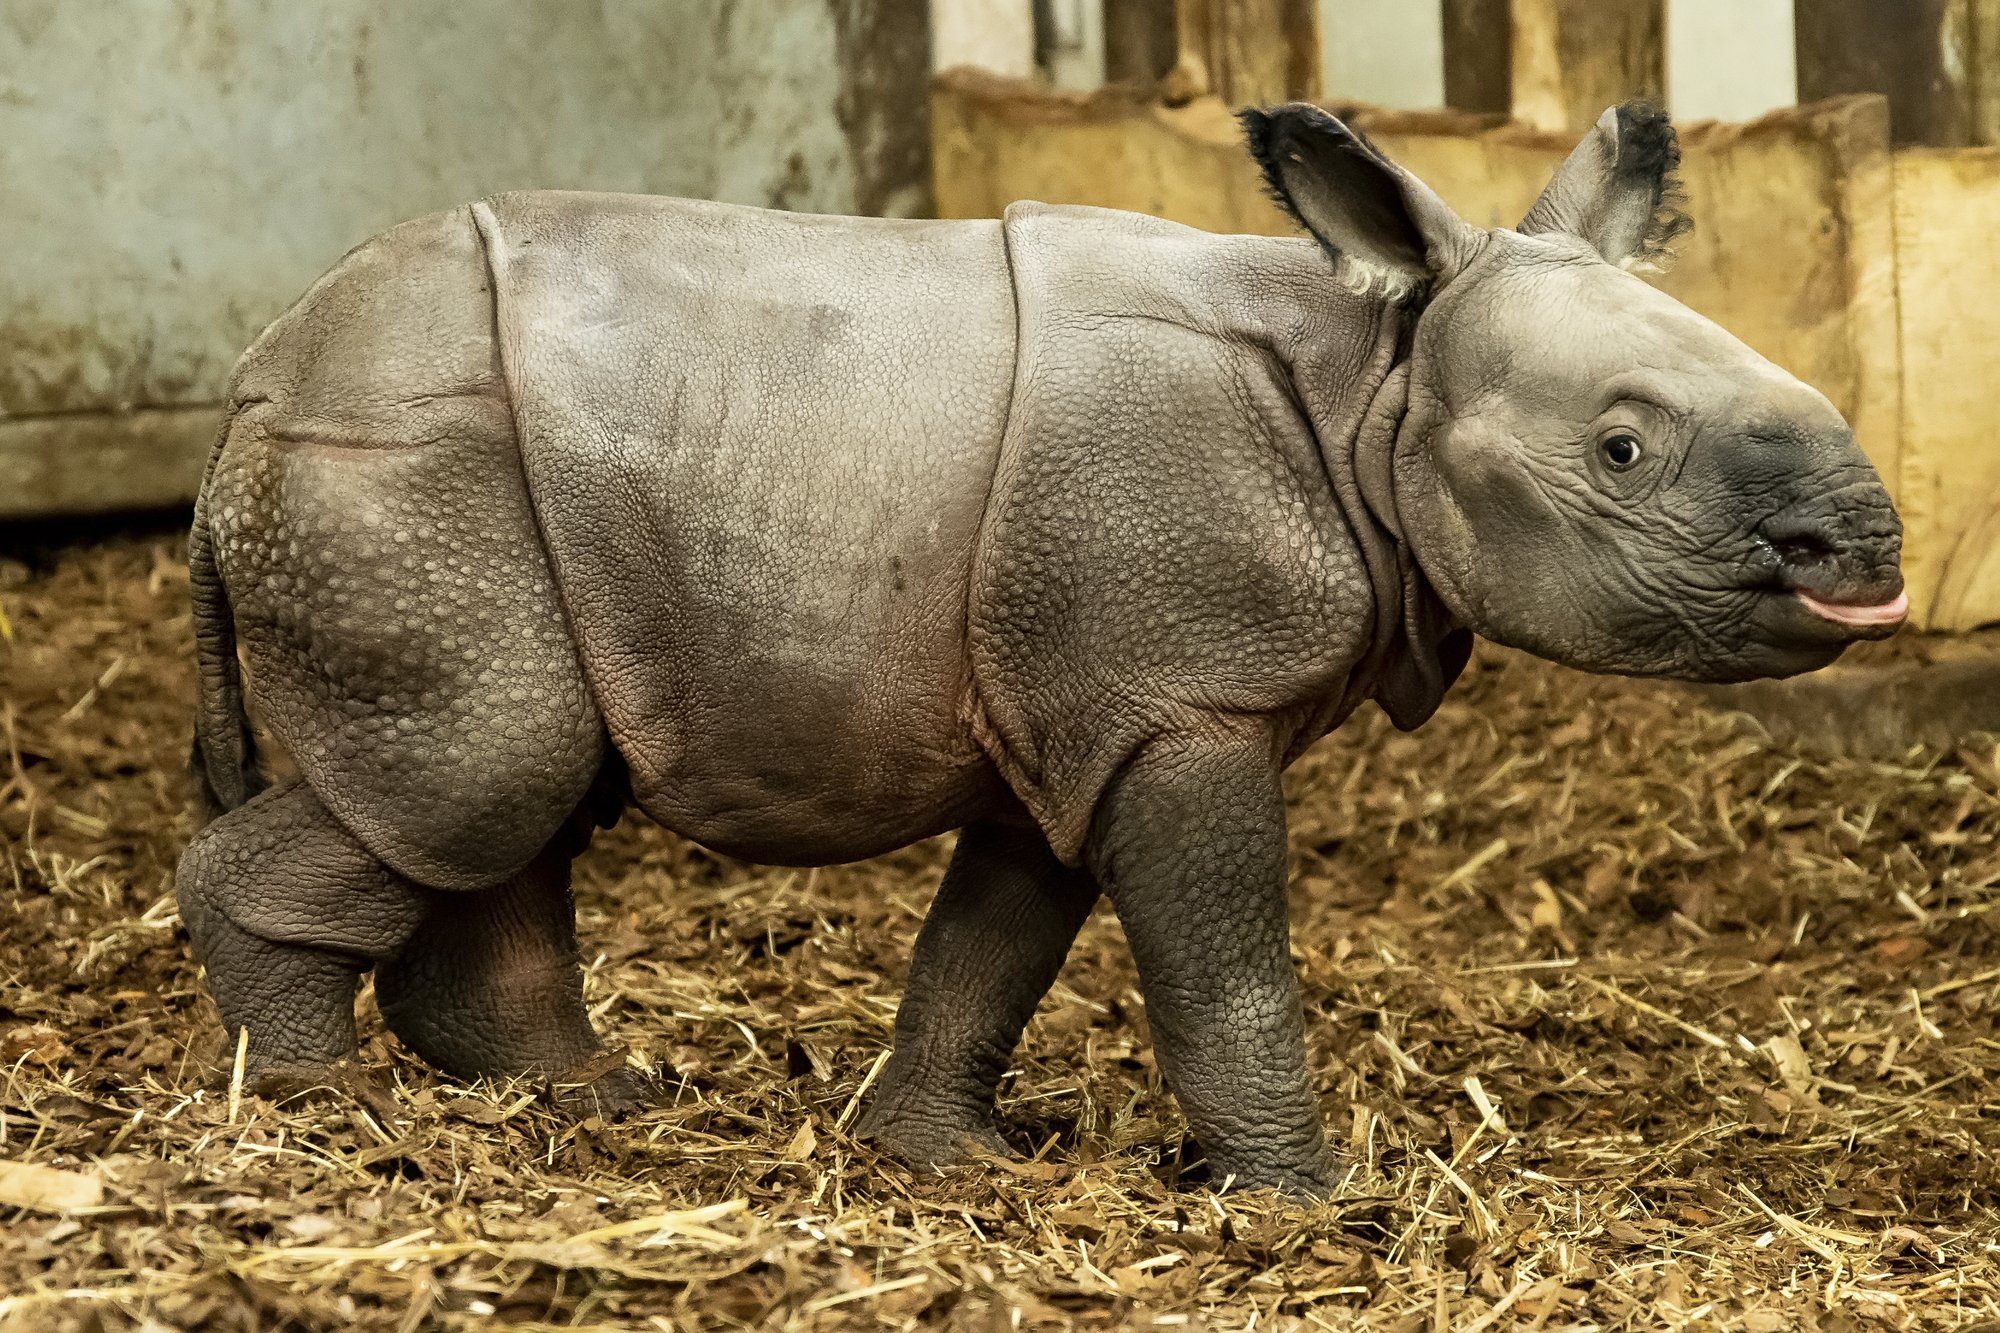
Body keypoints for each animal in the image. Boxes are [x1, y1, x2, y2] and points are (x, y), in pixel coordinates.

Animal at [180, 98, 1896, 1184]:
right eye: (1623, 450)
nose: (1864, 556)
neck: (1379, 371)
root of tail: (245, 394)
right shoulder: (1179, 701)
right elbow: (1224, 964)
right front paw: (1310, 1198)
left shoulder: (1084, 705)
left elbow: (994, 941)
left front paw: (942, 1160)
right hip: (405, 477)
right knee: (474, 778)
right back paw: (321, 1108)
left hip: (471, 503)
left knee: (505, 798)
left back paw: (590, 1098)